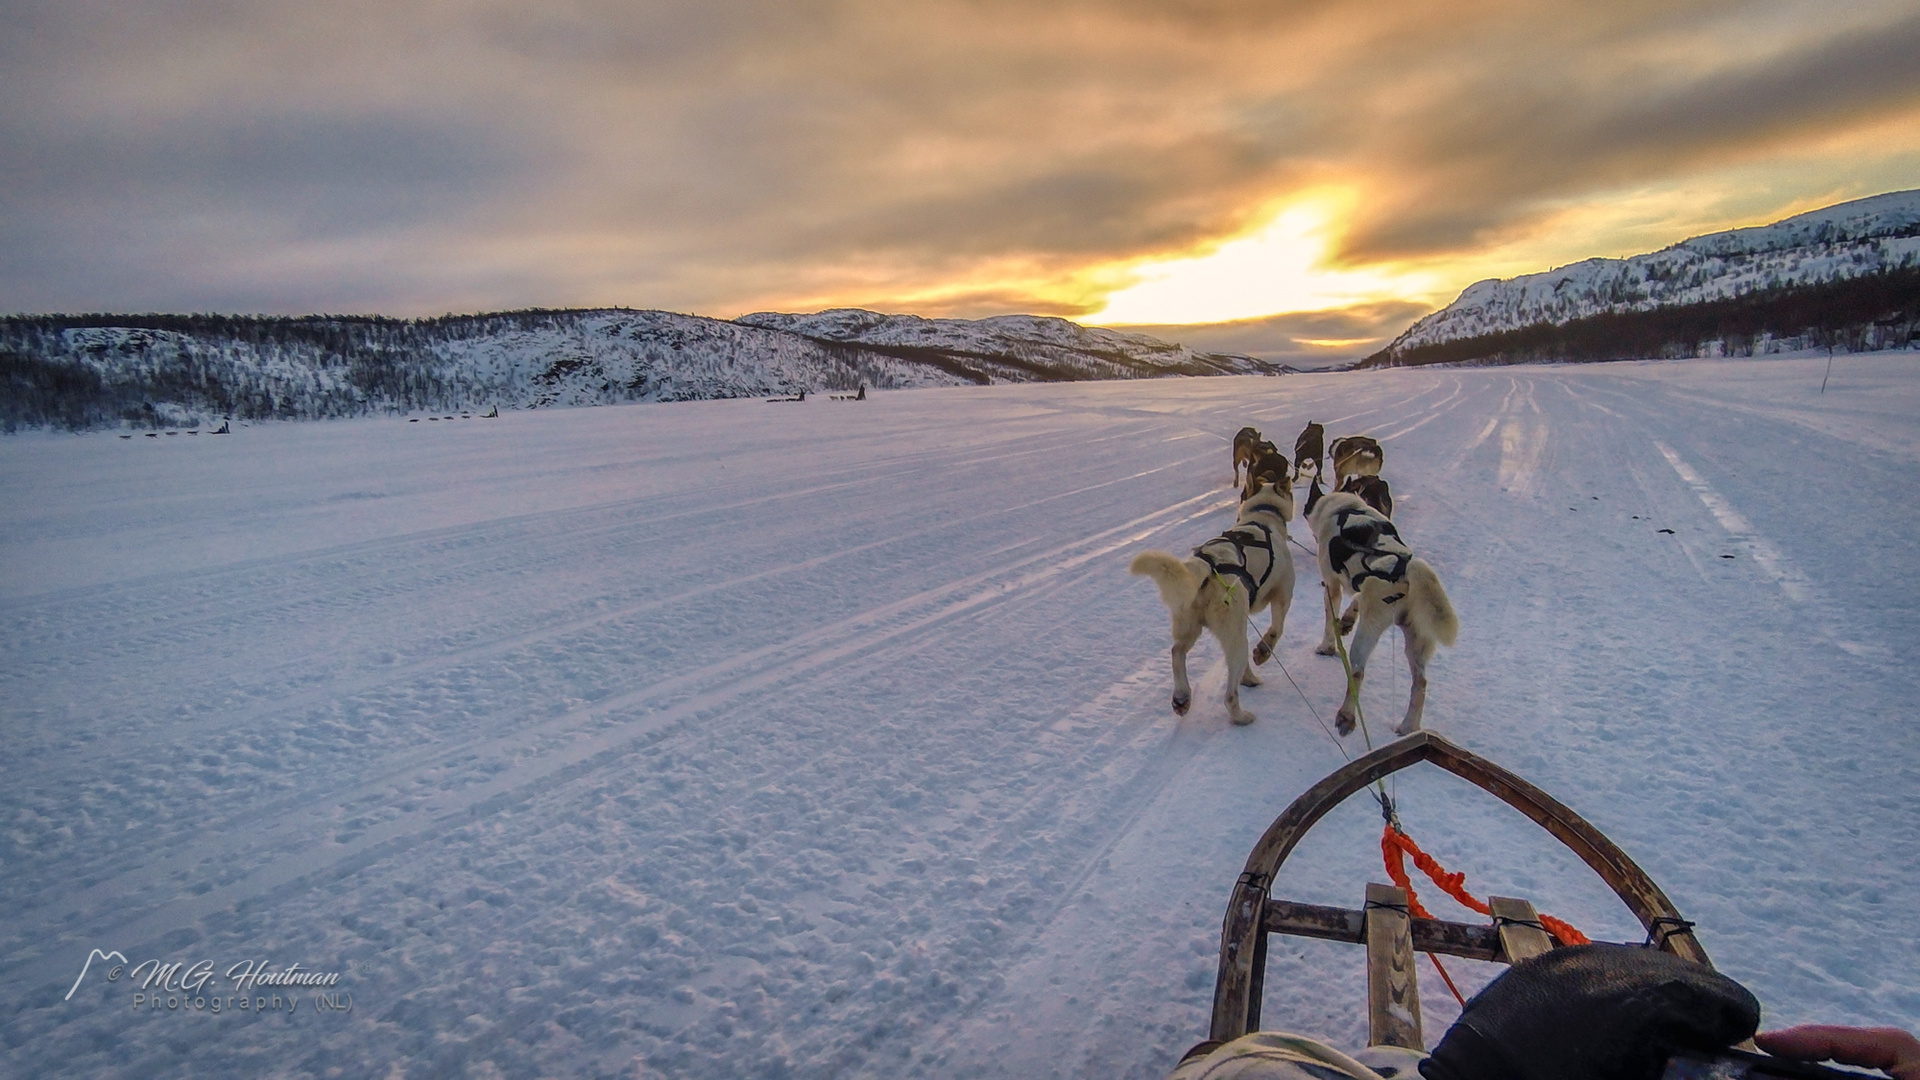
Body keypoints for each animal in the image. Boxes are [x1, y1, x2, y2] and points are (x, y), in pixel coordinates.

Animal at [1128, 478, 1297, 722]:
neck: (1263, 514)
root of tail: (1207, 565)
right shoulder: (1282, 596)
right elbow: (1276, 630)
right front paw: (1262, 652)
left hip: (1193, 627)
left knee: (1177, 652)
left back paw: (1182, 696)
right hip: (1235, 639)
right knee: (1229, 695)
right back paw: (1241, 716)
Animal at [1305, 476, 1451, 734]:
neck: (1344, 509)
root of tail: (1406, 570)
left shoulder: (1332, 585)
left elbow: (1329, 621)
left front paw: (1326, 646)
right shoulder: (1360, 586)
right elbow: (1354, 601)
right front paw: (1346, 620)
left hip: (1367, 635)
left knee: (1357, 673)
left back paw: (1346, 716)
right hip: (1417, 642)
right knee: (1420, 683)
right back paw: (1408, 726)